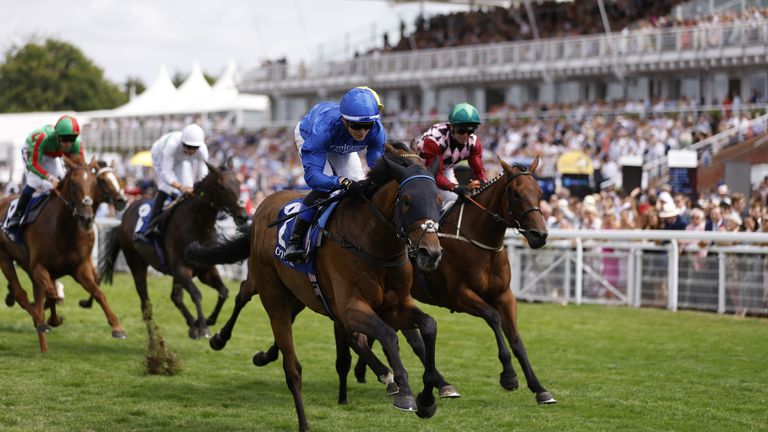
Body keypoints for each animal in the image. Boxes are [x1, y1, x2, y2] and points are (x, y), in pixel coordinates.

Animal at [0, 155, 126, 352]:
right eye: (103, 181)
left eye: (93, 182)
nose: (122, 200)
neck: (63, 229)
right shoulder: (39, 267)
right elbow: (52, 293)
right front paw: (49, 319)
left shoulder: (80, 267)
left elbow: (99, 292)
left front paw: (117, 327)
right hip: (5, 259)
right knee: (21, 294)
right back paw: (38, 320)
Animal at [97, 164, 246, 340]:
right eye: (222, 187)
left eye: (239, 184)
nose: (243, 215)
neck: (197, 225)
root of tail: (125, 215)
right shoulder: (180, 269)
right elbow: (196, 294)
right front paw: (203, 326)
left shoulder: (205, 270)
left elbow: (224, 292)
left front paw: (207, 321)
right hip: (136, 263)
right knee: (146, 303)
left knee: (175, 297)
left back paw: (192, 324)